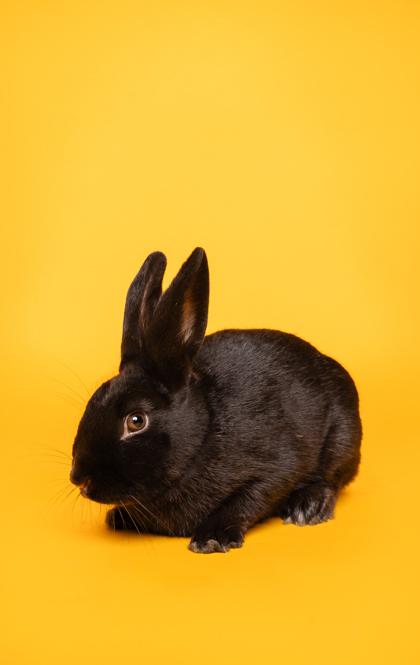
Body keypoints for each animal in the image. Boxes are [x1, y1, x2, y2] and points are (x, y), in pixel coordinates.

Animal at [70, 247, 362, 553]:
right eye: (93, 401)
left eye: (136, 421)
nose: (79, 479)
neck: (202, 435)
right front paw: (119, 517)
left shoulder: (275, 468)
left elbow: (248, 500)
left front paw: (211, 539)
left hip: (342, 436)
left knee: (332, 478)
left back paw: (309, 508)